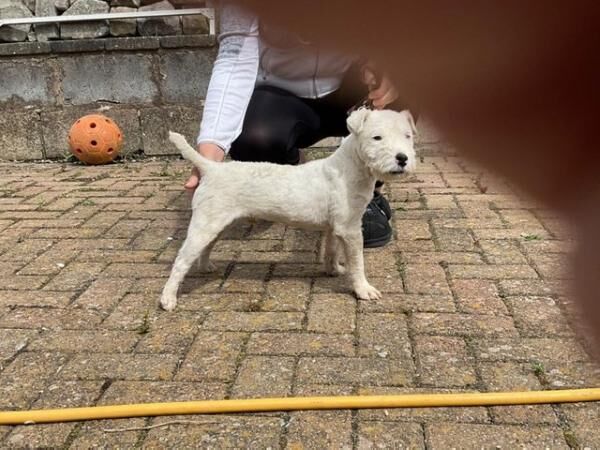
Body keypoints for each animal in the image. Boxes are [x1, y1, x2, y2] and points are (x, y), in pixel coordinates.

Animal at [161, 109, 418, 312]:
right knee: (181, 260)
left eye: (407, 136)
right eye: (377, 137)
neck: (348, 168)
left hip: (218, 222)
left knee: (207, 247)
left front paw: (333, 269)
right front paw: (364, 289)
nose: (402, 159)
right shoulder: (350, 229)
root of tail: (211, 168)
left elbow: (331, 250)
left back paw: (206, 267)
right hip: (205, 224)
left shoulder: (335, 227)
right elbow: (357, 262)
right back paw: (168, 299)